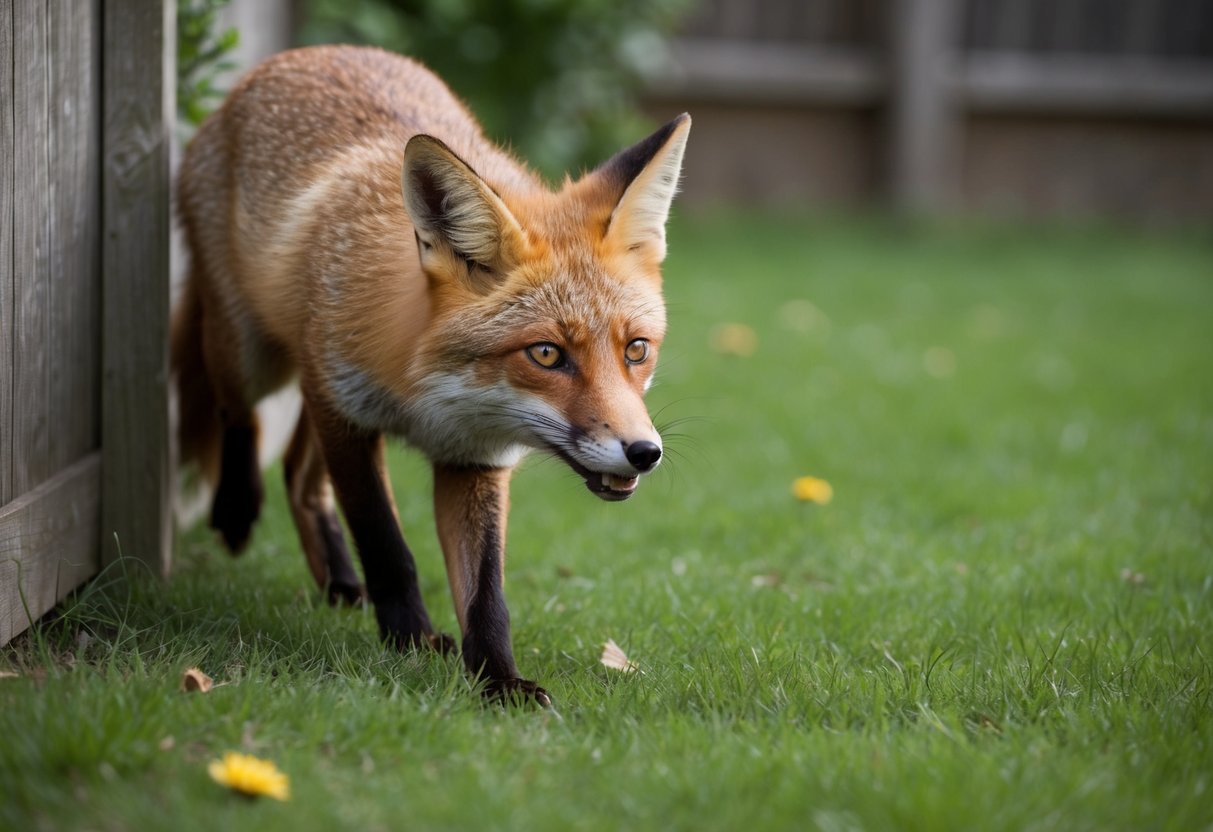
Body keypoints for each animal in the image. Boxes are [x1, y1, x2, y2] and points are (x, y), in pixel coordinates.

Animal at [171, 45, 690, 704]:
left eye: (636, 350)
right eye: (547, 355)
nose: (644, 453)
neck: (432, 396)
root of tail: (299, 56)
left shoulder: (473, 459)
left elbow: (487, 593)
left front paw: (499, 681)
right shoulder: (346, 411)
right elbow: (387, 543)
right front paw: (412, 641)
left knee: (300, 477)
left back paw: (338, 582)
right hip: (251, 352)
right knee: (238, 416)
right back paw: (237, 511)